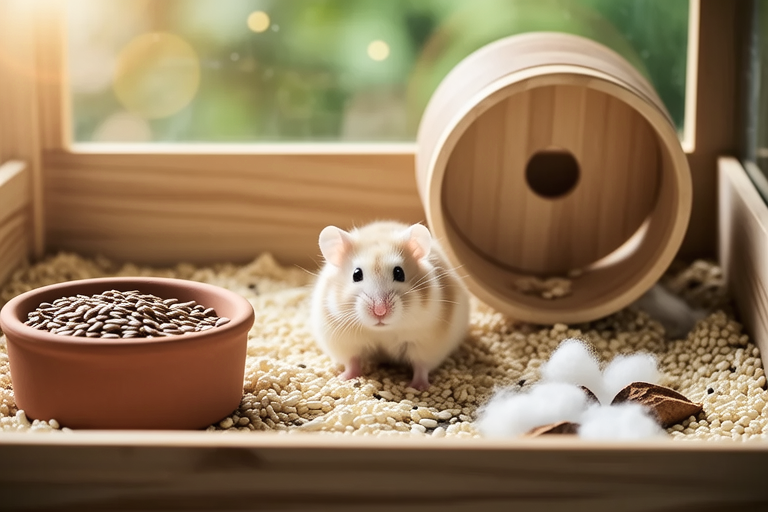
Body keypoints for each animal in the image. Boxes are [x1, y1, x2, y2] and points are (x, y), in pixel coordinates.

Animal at [310, 220, 470, 390]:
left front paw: (418, 387)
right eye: (356, 274)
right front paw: (344, 378)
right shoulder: (346, 342)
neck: (383, 331)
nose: (380, 311)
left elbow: (421, 367)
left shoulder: (425, 344)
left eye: (399, 273)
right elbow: (352, 362)